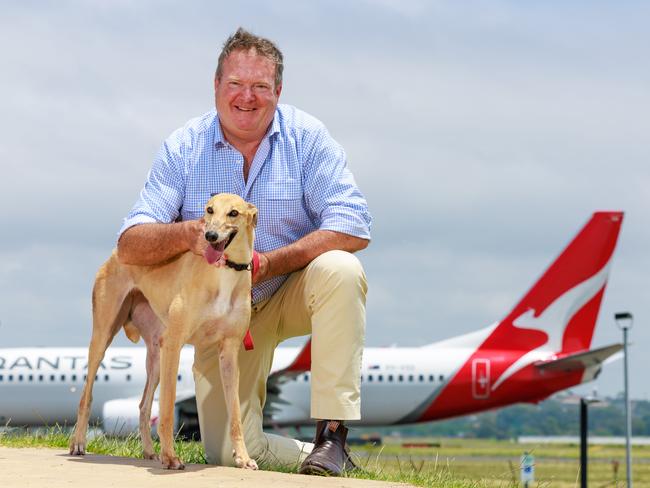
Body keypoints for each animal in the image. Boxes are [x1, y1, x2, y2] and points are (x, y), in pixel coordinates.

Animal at [67, 193, 256, 468]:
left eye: (234, 213)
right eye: (209, 210)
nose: (210, 235)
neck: (225, 273)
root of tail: (115, 252)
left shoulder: (229, 351)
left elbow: (235, 414)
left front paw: (243, 458)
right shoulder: (175, 343)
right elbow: (167, 407)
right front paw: (170, 457)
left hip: (156, 356)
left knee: (143, 406)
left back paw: (148, 451)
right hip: (104, 337)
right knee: (86, 395)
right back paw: (79, 443)